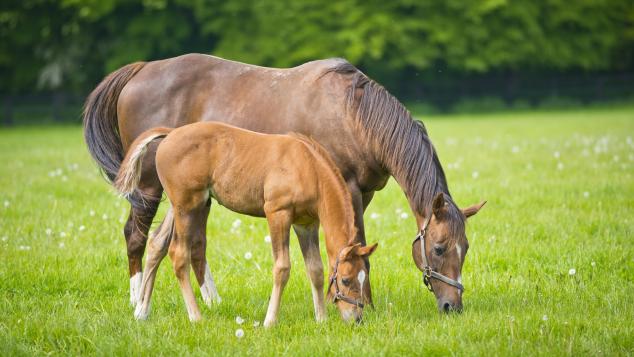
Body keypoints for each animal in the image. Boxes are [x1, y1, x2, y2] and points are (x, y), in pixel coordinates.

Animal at [113, 122, 376, 326]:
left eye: (363, 277)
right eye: (346, 279)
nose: (357, 319)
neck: (308, 167)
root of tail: (171, 133)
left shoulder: (306, 223)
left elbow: (316, 269)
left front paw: (320, 319)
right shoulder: (278, 213)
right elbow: (282, 268)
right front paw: (270, 321)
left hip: (181, 206)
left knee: (157, 243)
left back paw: (142, 311)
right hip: (188, 208)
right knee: (178, 253)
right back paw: (195, 316)